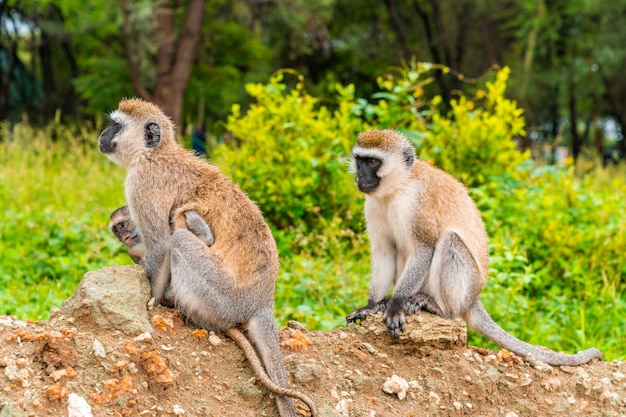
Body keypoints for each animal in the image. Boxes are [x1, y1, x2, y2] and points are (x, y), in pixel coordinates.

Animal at [100, 98, 320, 416]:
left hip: (221, 297)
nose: (103, 134)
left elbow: (161, 245)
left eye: (116, 126)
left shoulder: (141, 185)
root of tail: (262, 301)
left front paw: (152, 303)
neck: (154, 154)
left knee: (179, 240)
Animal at [344, 128, 604, 366]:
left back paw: (438, 307)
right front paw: (371, 305)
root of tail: (472, 298)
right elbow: (384, 252)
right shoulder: (373, 206)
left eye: (373, 162)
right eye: (360, 160)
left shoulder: (415, 205)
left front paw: (396, 305)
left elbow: (424, 249)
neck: (397, 189)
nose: (359, 177)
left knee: (450, 241)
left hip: (464, 288)